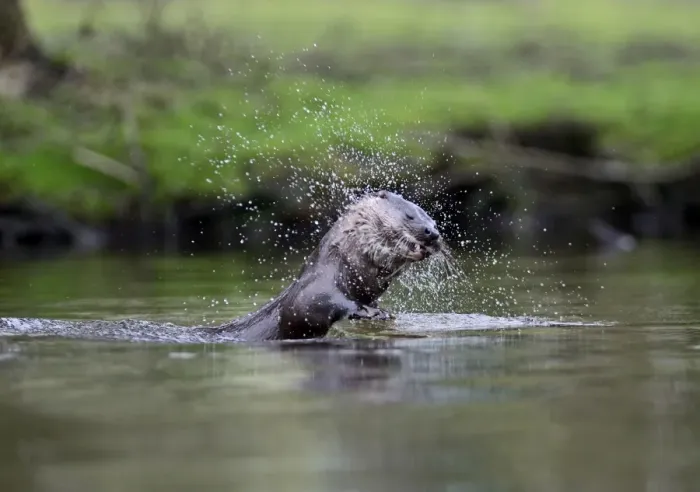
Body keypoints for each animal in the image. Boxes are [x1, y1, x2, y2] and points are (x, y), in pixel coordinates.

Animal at [208, 190, 443, 341]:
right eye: (410, 215)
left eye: (434, 222)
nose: (433, 233)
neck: (342, 265)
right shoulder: (311, 290)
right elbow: (309, 306)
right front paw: (370, 311)